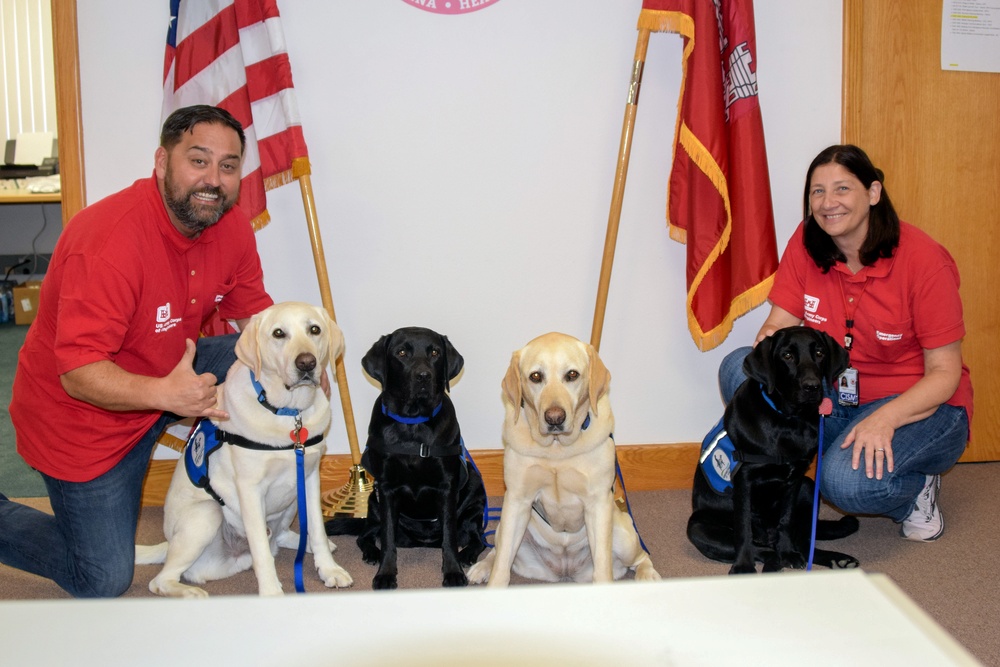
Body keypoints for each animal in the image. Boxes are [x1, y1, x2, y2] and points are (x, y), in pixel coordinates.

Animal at [136, 302, 356, 600]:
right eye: (278, 333)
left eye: (314, 329)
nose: (307, 363)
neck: (288, 412)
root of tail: (167, 544)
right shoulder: (250, 489)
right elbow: (261, 550)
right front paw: (272, 592)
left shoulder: (309, 477)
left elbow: (318, 529)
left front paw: (329, 569)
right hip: (206, 515)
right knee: (160, 580)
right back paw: (190, 592)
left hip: (290, 499)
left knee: (280, 536)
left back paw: (304, 543)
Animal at [326, 326, 486, 588]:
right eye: (401, 353)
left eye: (435, 352)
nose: (423, 376)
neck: (413, 424)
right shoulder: (387, 490)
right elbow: (388, 540)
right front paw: (385, 574)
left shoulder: (447, 487)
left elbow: (450, 538)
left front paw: (453, 572)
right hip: (373, 502)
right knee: (365, 536)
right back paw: (371, 553)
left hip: (474, 495)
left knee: (477, 538)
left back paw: (467, 555)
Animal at [470, 332, 660, 584]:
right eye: (536, 376)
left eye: (572, 374)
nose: (554, 418)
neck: (557, 449)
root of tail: (565, 570)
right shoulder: (517, 500)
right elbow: (501, 565)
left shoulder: (597, 503)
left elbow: (603, 568)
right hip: (504, 525)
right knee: (497, 549)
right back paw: (482, 566)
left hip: (624, 536)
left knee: (642, 556)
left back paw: (648, 574)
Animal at [688, 328, 860, 576]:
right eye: (787, 356)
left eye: (819, 353)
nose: (812, 386)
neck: (788, 421)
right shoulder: (744, 479)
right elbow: (743, 528)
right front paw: (743, 566)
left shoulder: (796, 479)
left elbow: (785, 520)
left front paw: (787, 553)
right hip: (698, 526)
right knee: (762, 548)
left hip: (809, 488)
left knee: (802, 542)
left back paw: (833, 559)